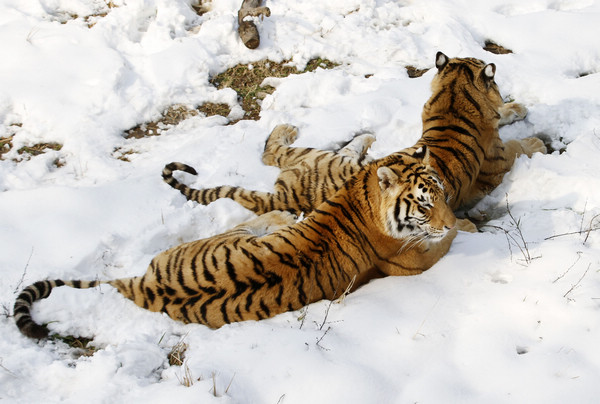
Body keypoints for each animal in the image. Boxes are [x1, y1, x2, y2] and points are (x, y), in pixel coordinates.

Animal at [15, 147, 474, 340]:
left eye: (440, 192)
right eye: (424, 203)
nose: (448, 218)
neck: (361, 193)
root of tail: (142, 284)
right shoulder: (416, 258)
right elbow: (449, 239)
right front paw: (468, 227)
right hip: (232, 236)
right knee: (258, 220)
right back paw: (286, 216)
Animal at [162, 53, 548, 216]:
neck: (453, 99)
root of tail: (284, 198)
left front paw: (515, 109)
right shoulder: (499, 159)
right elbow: (518, 145)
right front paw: (536, 138)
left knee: (275, 155)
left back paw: (364, 139)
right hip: (322, 156)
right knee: (272, 152)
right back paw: (295, 128)